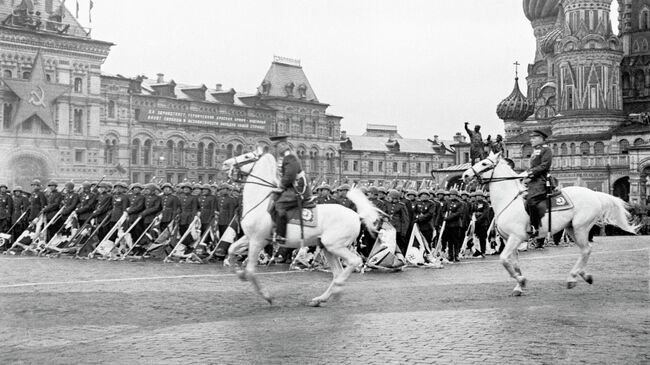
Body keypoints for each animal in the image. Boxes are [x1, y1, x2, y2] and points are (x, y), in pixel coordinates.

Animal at [221, 146, 380, 306]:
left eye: (247, 156)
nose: (225, 163)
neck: (260, 203)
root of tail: (356, 215)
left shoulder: (257, 241)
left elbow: (250, 271)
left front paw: (266, 296)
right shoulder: (250, 238)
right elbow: (231, 249)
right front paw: (237, 271)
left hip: (335, 245)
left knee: (354, 262)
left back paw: (337, 287)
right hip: (327, 248)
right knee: (337, 272)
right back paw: (321, 298)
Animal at [460, 151, 636, 296]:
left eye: (484, 163)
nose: (465, 175)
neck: (508, 201)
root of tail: (594, 194)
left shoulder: (516, 237)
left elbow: (503, 259)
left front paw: (521, 281)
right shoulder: (509, 239)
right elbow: (514, 263)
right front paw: (519, 285)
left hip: (581, 228)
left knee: (586, 250)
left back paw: (572, 278)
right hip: (571, 229)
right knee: (585, 250)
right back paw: (584, 276)